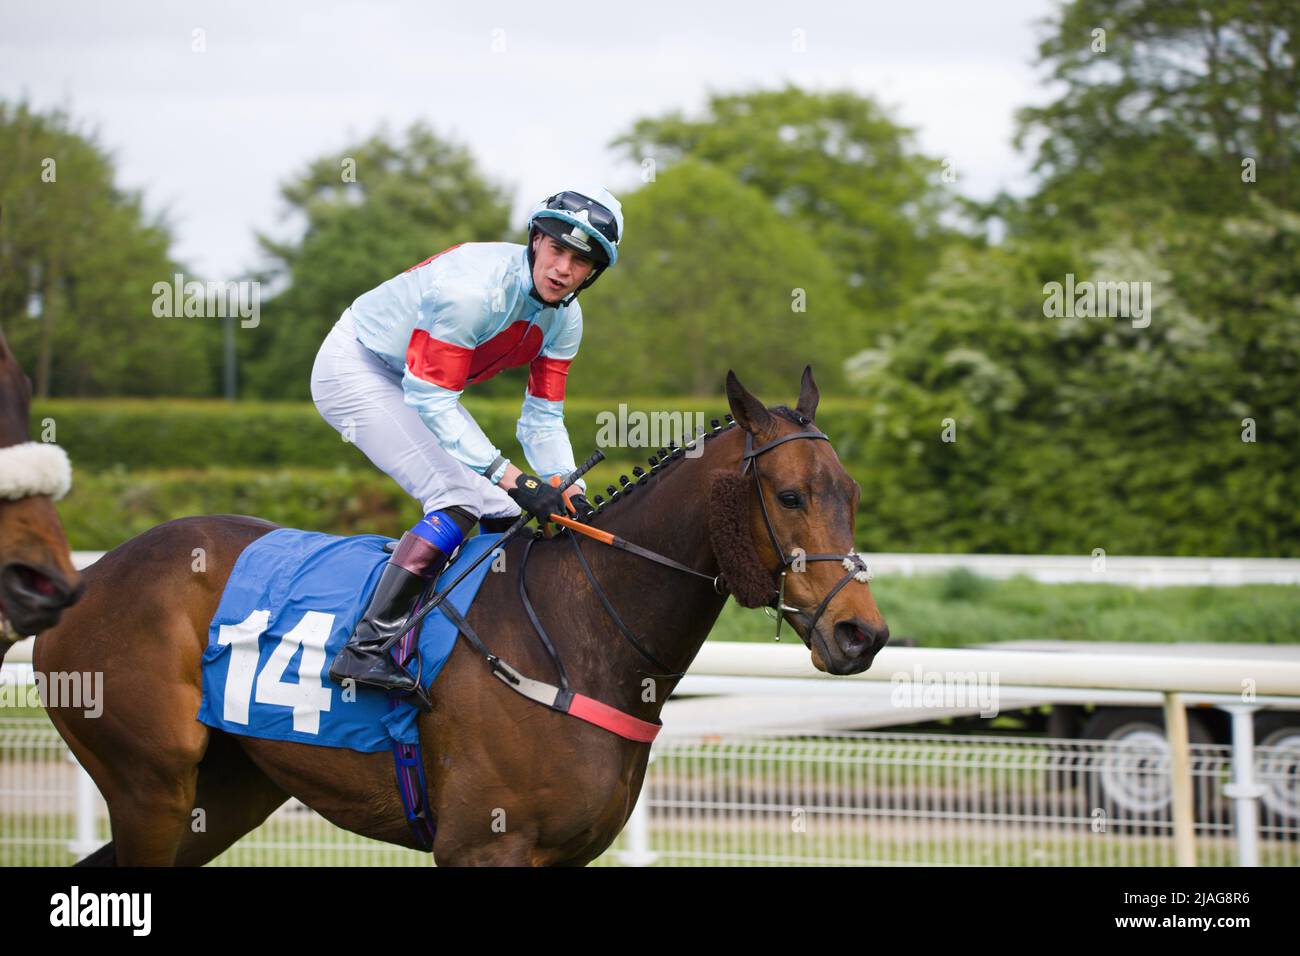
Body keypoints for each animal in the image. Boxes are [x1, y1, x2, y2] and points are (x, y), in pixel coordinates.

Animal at [38, 366, 883, 868]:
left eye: (852, 491)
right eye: (790, 496)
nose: (862, 634)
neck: (576, 635)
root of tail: (88, 577)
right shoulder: (480, 846)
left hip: (224, 791)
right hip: (151, 786)